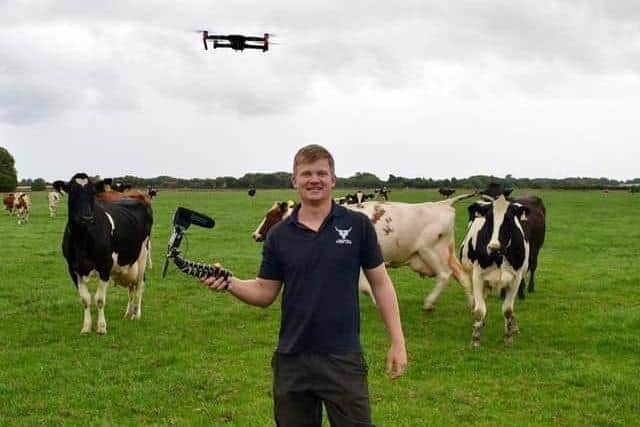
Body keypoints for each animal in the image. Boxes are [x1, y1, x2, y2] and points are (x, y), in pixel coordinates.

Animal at [60, 173, 155, 334]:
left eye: (92, 194)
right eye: (72, 193)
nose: (87, 218)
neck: (82, 240)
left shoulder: (105, 266)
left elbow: (99, 299)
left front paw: (101, 327)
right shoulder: (72, 268)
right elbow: (85, 299)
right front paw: (86, 327)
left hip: (142, 255)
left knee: (139, 286)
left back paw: (136, 314)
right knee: (131, 288)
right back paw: (128, 313)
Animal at [251, 196, 476, 312]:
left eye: (271, 216)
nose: (255, 234)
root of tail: (442, 204)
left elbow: (364, 287)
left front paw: (378, 302)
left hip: (430, 251)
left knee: (445, 275)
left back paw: (429, 303)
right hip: (446, 253)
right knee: (462, 277)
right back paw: (472, 305)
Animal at [460, 195, 528, 348]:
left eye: (509, 220)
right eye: (488, 220)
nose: (493, 247)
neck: (498, 257)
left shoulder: (516, 279)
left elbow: (508, 310)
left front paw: (508, 337)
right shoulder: (478, 277)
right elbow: (480, 310)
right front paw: (475, 338)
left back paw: (512, 326)